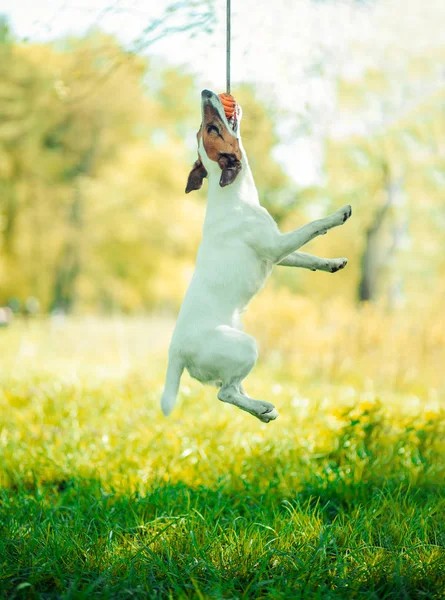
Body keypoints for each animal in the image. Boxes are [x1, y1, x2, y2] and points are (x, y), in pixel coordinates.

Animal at [160, 91, 350, 424]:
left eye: (202, 130)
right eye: (211, 130)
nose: (205, 92)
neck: (232, 195)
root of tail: (176, 352)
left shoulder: (278, 253)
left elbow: (307, 256)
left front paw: (331, 263)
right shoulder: (276, 245)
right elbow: (313, 227)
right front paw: (337, 215)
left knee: (232, 388)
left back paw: (263, 410)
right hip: (246, 347)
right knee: (225, 392)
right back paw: (261, 408)